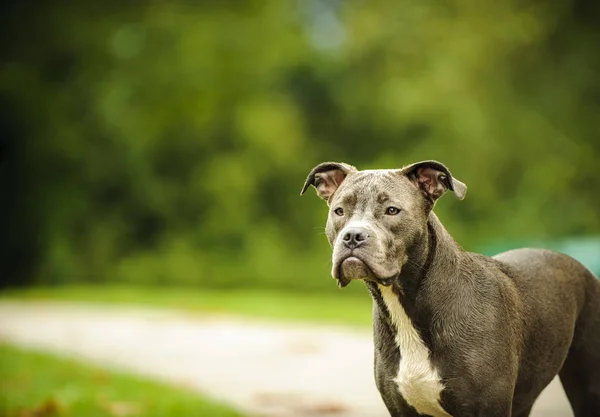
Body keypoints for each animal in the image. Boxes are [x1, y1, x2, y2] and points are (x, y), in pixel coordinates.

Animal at [302, 160, 600, 416]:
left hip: (588, 387)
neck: (410, 305)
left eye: (392, 211)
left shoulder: (486, 406)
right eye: (339, 211)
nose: (353, 236)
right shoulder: (401, 407)